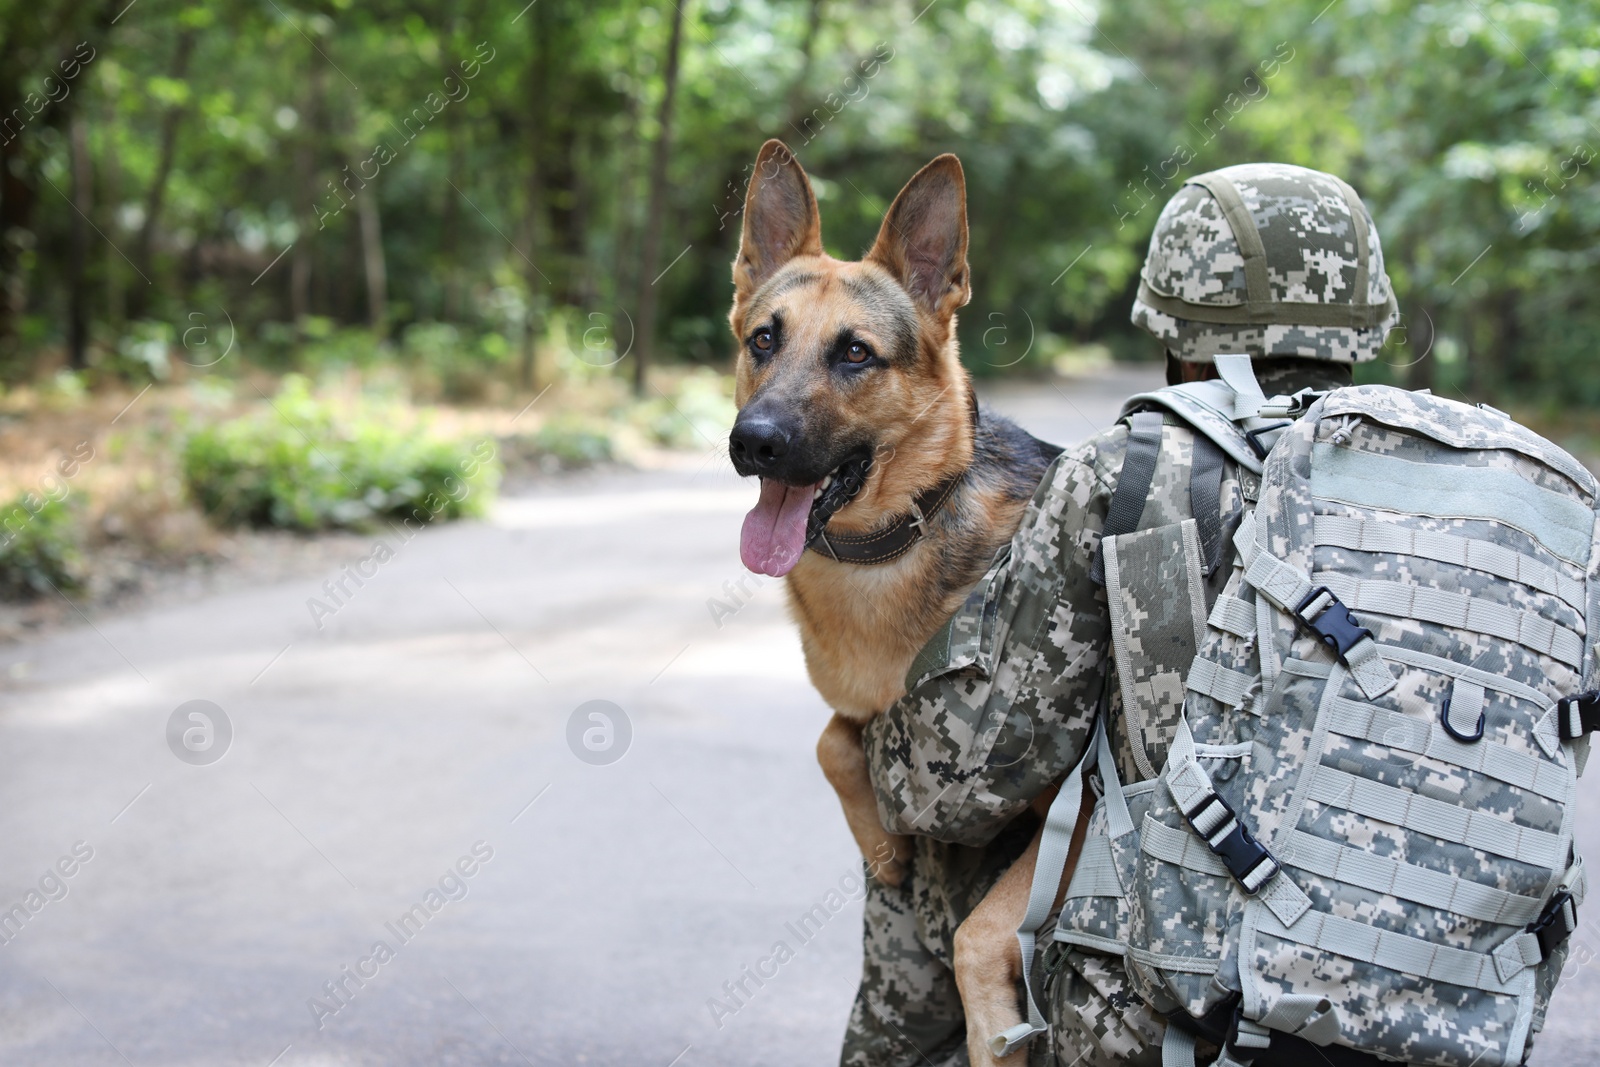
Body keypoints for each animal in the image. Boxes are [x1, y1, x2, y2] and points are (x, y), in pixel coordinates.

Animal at [732, 137, 1068, 1062]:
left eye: (855, 354)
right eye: (763, 340)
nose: (752, 442)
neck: (890, 540)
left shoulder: (1074, 799)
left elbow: (980, 933)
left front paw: (992, 1027)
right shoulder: (855, 709)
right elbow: (831, 739)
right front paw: (881, 846)